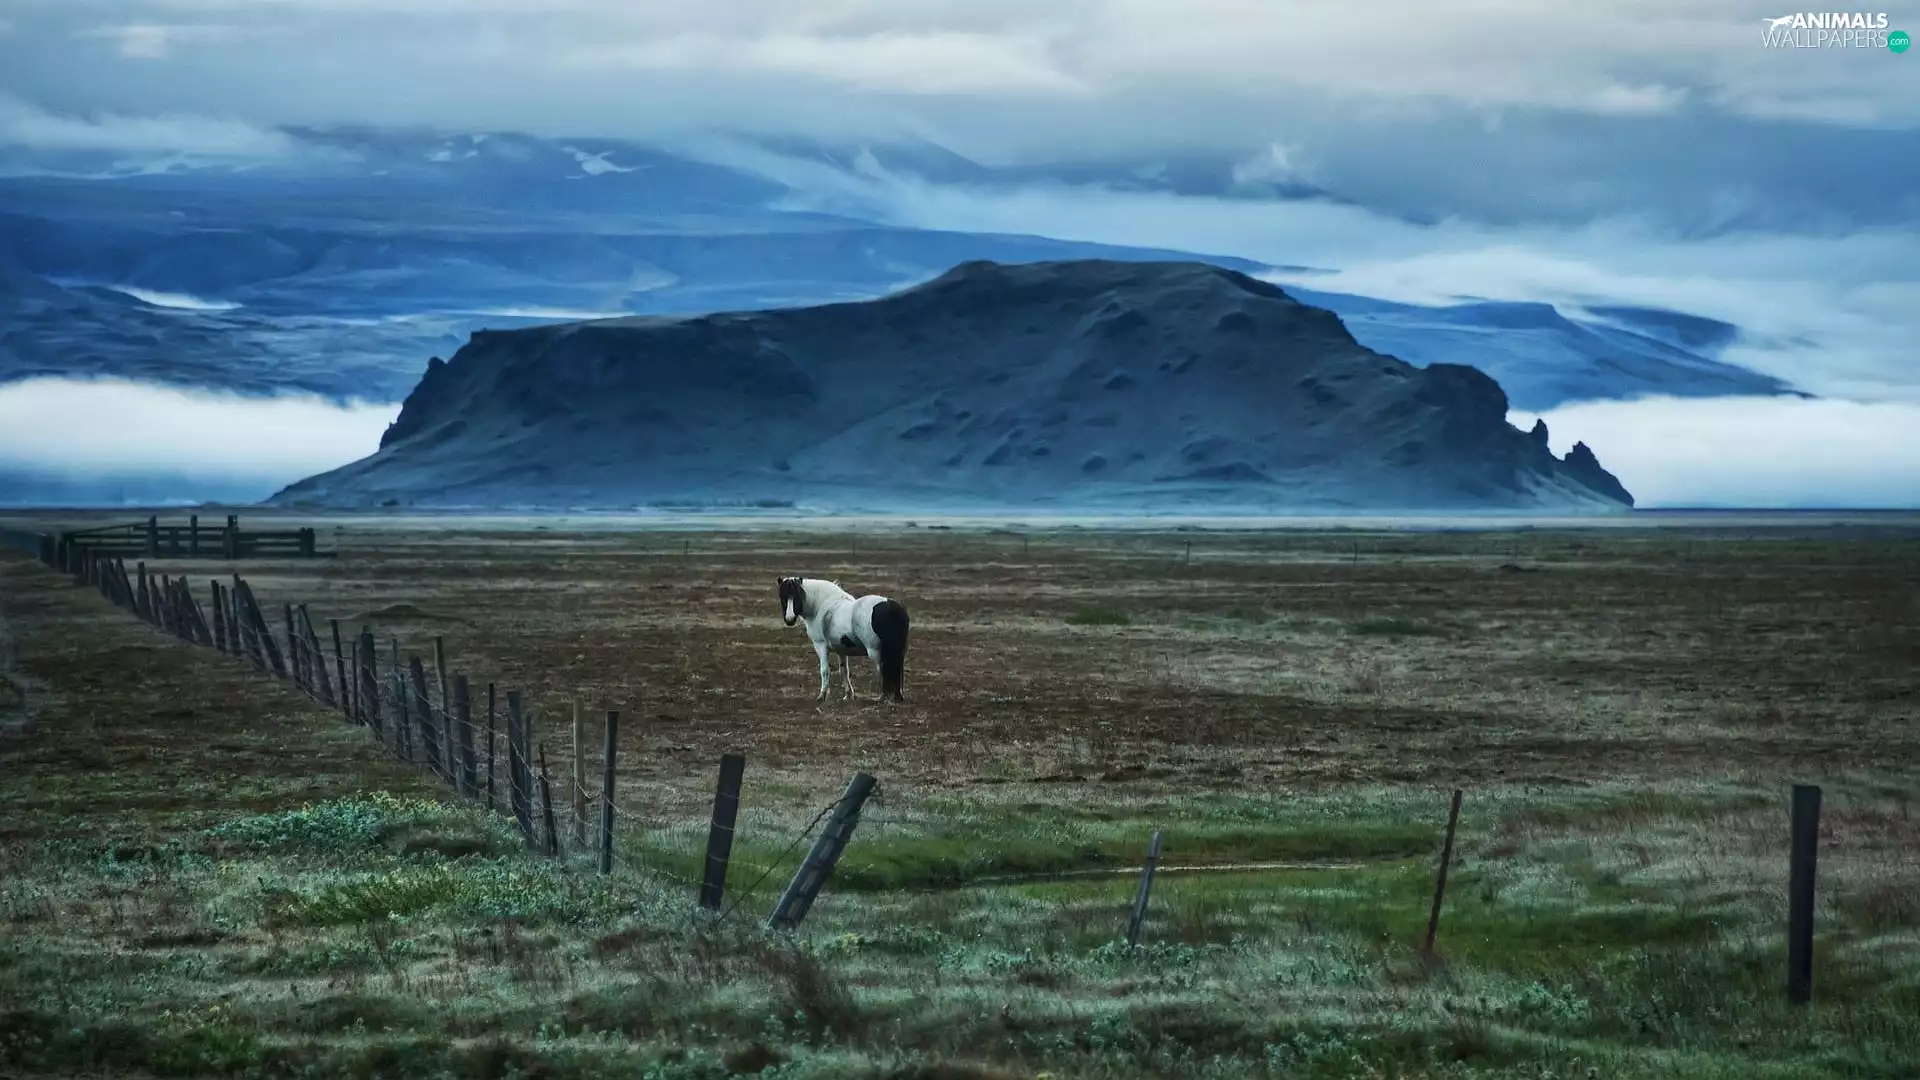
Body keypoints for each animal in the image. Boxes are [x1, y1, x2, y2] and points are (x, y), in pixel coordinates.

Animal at [777, 576, 910, 704]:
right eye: (782, 596)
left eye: (797, 595)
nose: (789, 619)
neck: (821, 606)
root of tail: (891, 607)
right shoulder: (841, 650)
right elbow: (844, 671)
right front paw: (848, 695)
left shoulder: (820, 646)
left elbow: (824, 670)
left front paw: (822, 696)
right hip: (898, 651)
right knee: (898, 670)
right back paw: (898, 696)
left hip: (875, 651)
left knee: (883, 670)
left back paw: (882, 697)